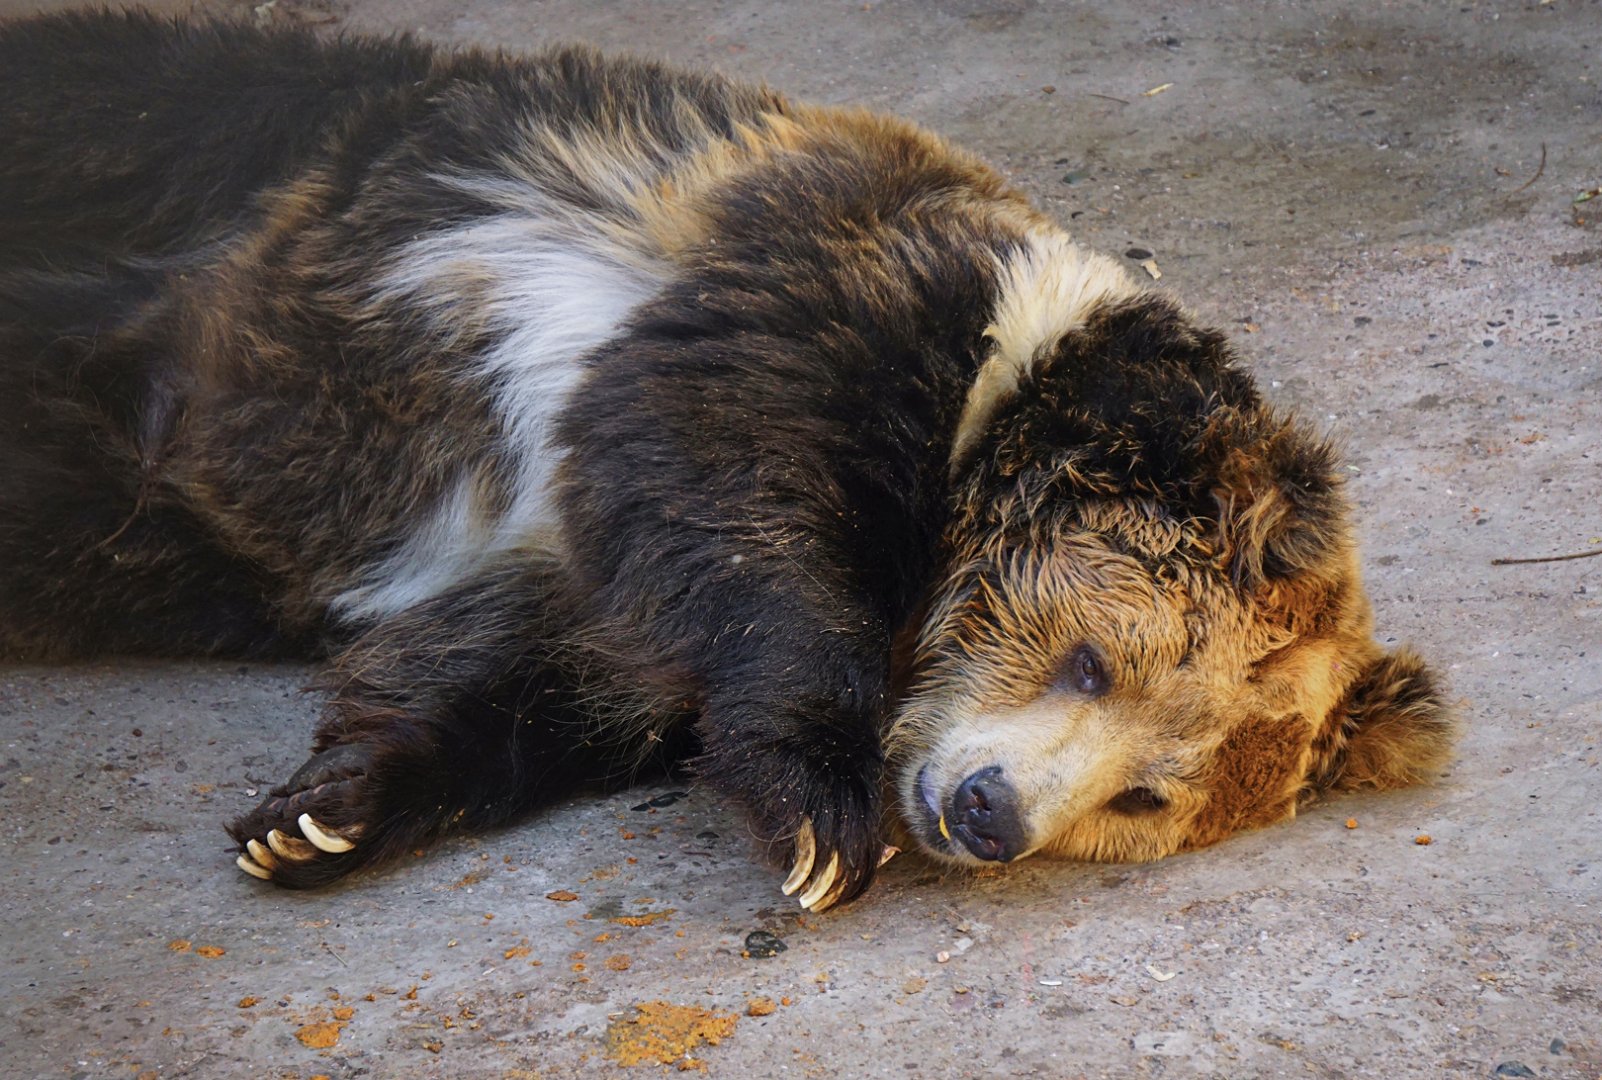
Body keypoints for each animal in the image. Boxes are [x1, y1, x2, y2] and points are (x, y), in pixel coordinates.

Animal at [0, 10, 1453, 912]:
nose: (988, 811)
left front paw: (324, 813)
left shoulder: (578, 572)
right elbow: (742, 497)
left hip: (149, 512)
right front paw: (822, 814)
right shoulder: (822, 307)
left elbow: (538, 676)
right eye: (1093, 660)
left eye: (1150, 795)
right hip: (265, 138)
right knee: (127, 82)